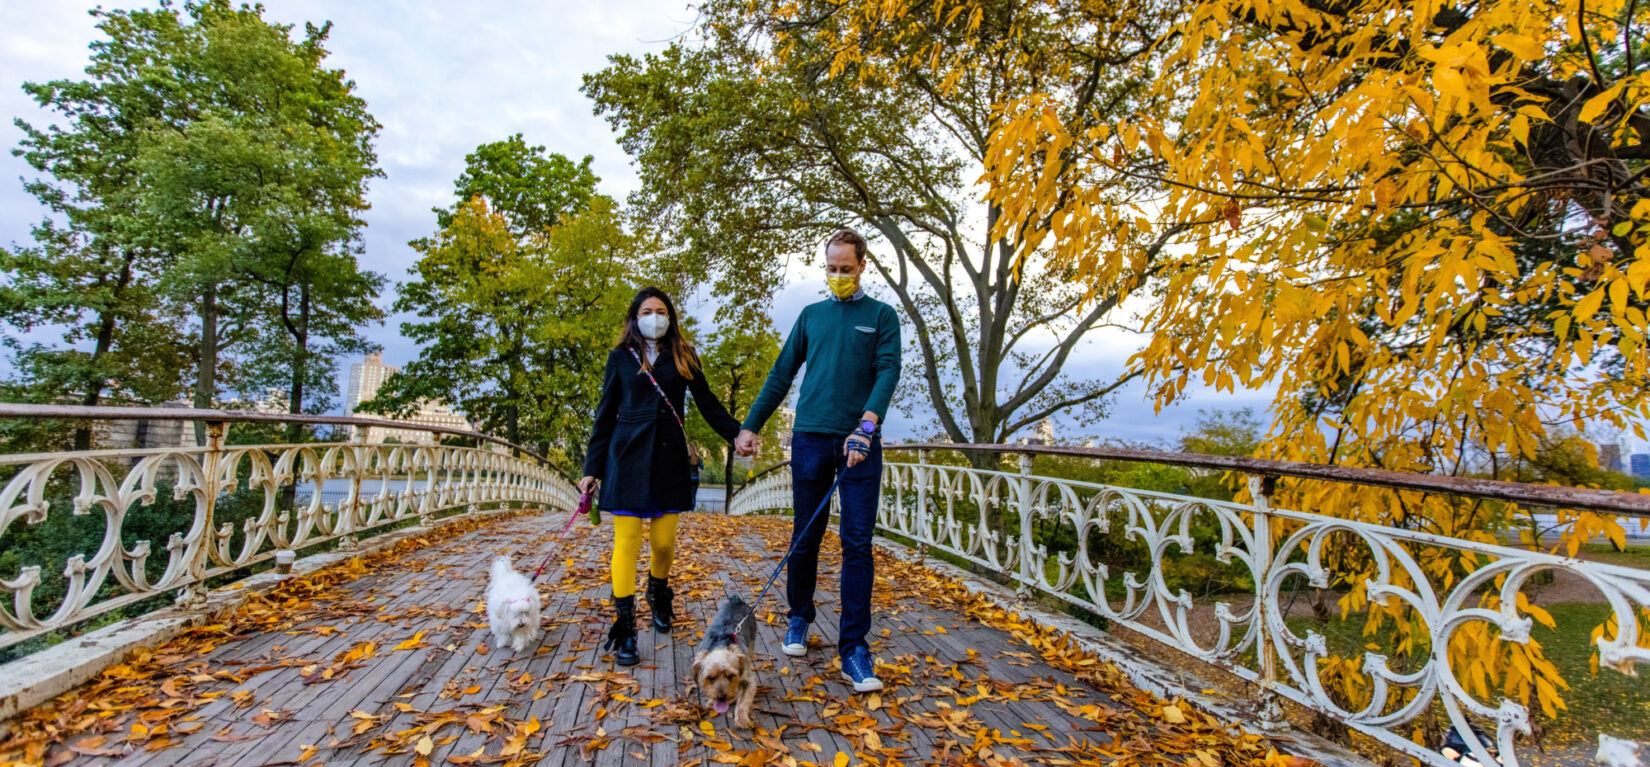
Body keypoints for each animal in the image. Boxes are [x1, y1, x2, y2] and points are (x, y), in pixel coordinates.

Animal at [689, 593, 759, 725]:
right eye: (711, 678)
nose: (721, 697)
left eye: (730, 676)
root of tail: (736, 600)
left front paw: (742, 718)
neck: (721, 644)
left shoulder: (748, 679)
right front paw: (712, 701)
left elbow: (744, 699)